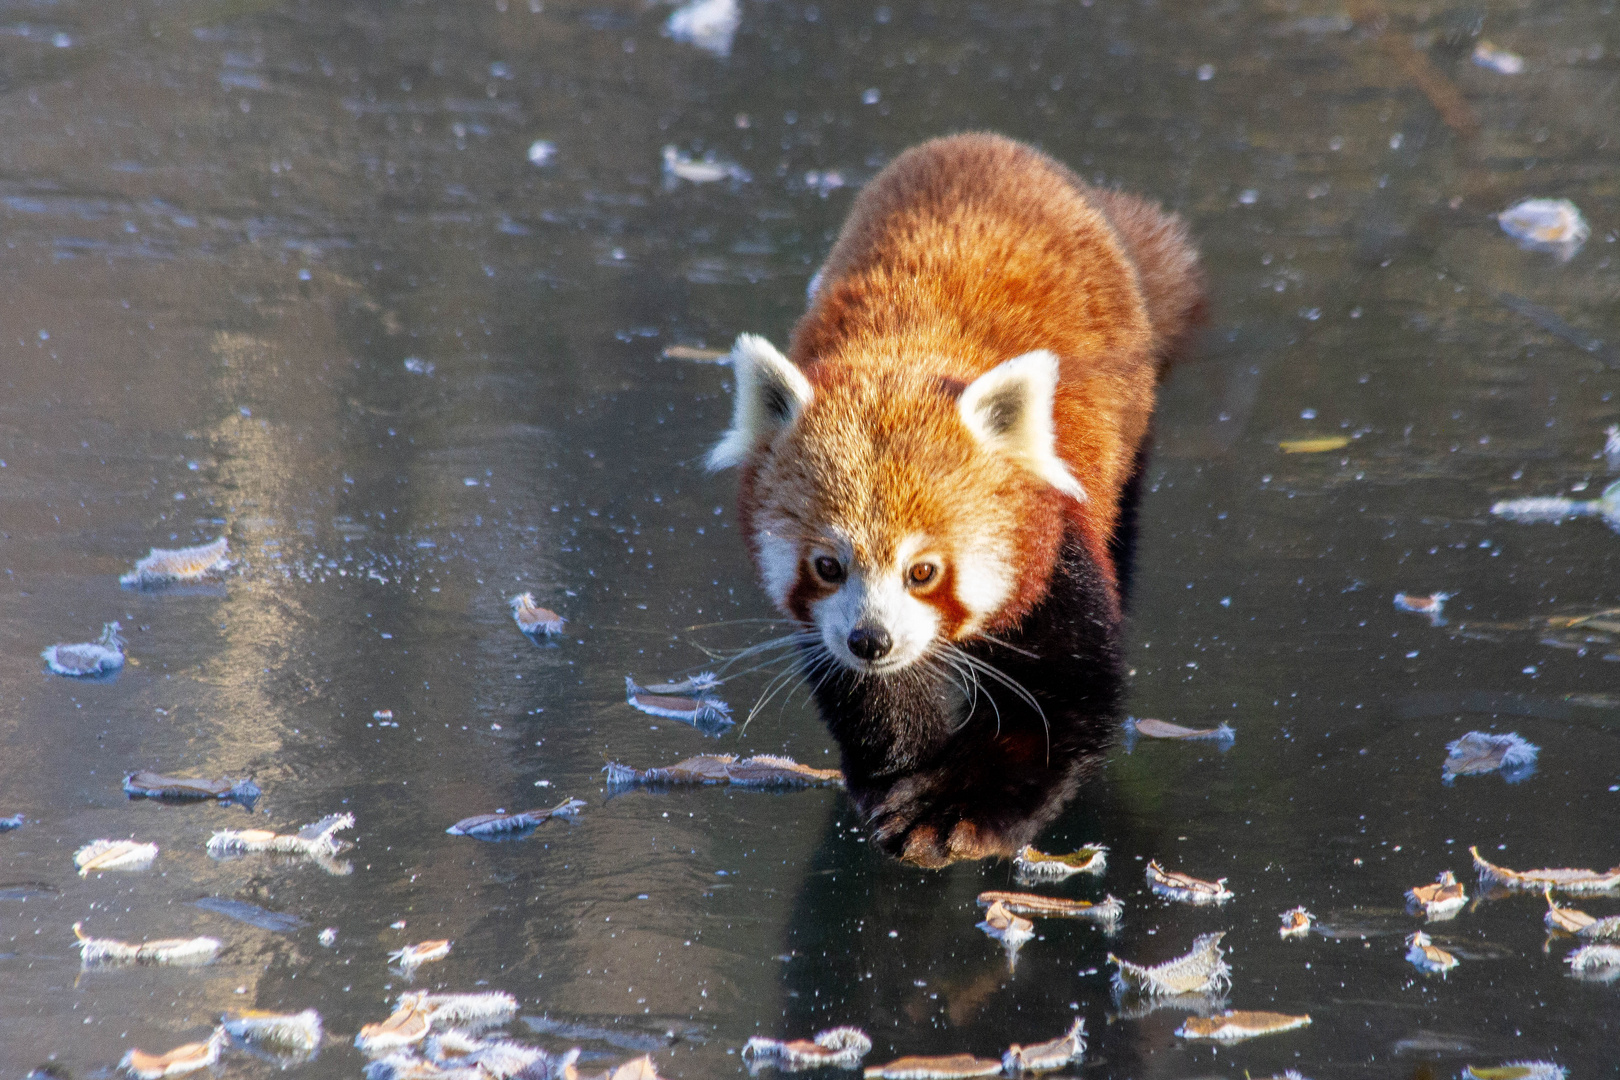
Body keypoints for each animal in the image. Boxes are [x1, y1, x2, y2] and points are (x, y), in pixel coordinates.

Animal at [709, 135, 1205, 867]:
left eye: (924, 571)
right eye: (827, 565)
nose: (872, 640)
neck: (902, 360)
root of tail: (988, 145)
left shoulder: (1056, 543)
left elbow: (1059, 705)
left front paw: (959, 807)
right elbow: (867, 694)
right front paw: (896, 776)